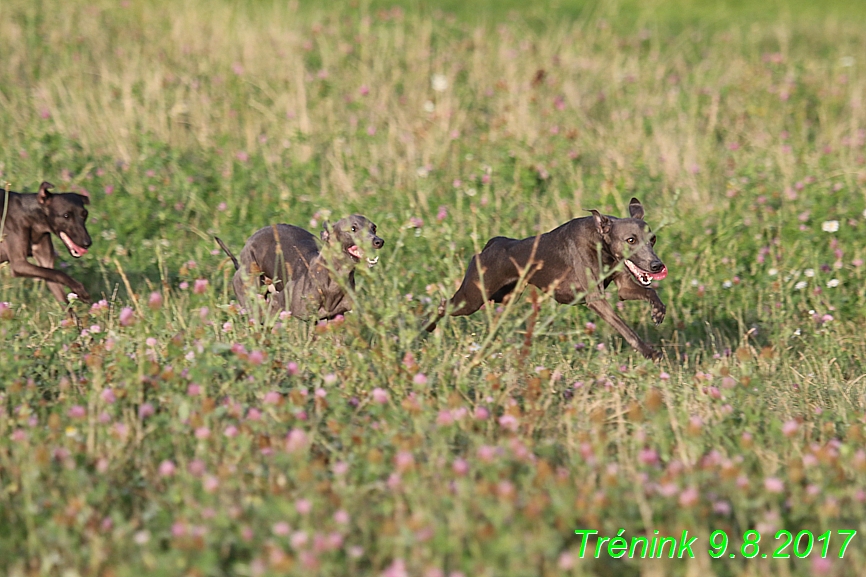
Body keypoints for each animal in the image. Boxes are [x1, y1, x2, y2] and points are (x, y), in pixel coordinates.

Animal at [426, 199, 668, 360]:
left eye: (653, 238)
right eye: (631, 240)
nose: (657, 265)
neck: (599, 240)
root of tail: (492, 244)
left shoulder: (624, 287)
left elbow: (648, 291)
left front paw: (658, 312)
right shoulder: (595, 299)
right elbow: (627, 330)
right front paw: (649, 352)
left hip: (504, 296)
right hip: (472, 298)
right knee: (442, 305)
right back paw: (426, 328)